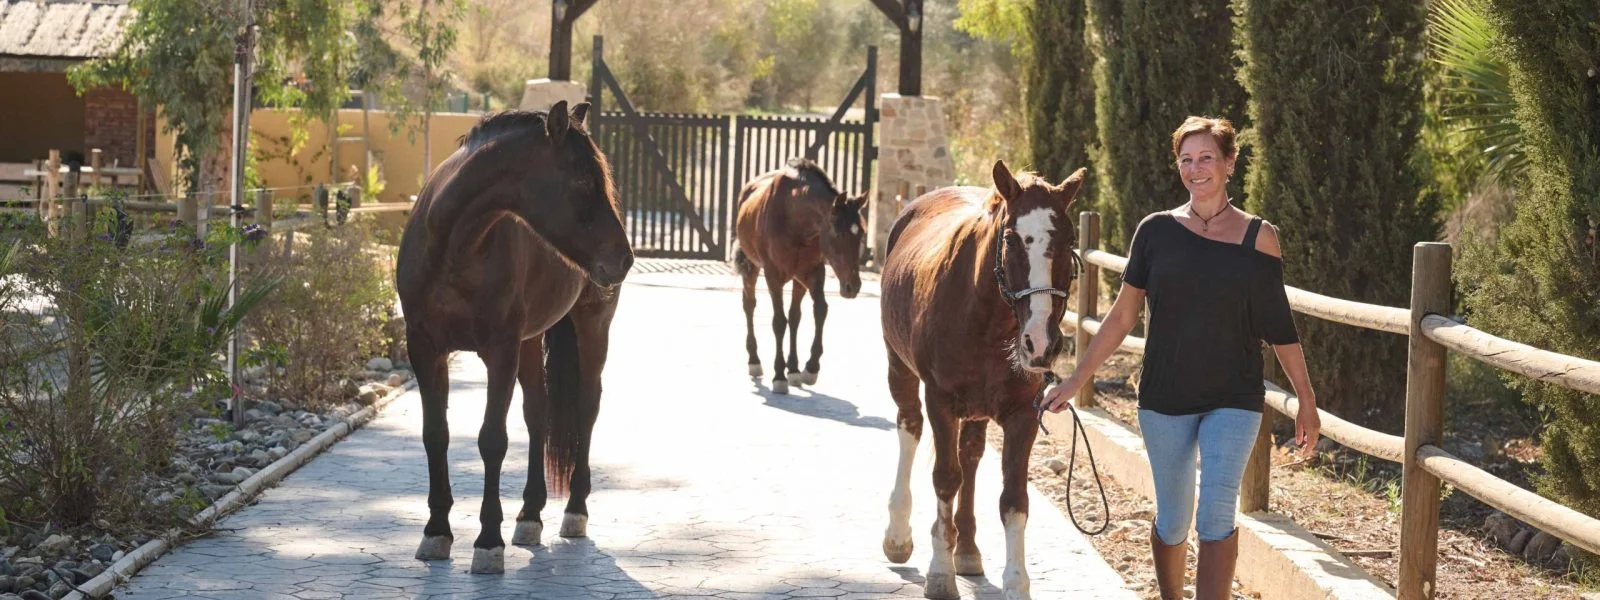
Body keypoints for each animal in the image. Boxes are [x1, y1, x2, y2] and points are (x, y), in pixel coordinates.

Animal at [394, 101, 634, 574]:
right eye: (582, 181)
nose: (624, 259)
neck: (455, 249)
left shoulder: (499, 351)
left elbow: (492, 440)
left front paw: (488, 542)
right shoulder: (425, 348)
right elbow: (436, 435)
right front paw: (436, 532)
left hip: (591, 326)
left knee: (586, 406)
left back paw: (574, 511)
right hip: (529, 340)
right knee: (537, 413)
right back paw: (530, 517)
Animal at [733, 158, 867, 394]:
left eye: (861, 234)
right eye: (838, 232)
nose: (852, 286)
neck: (794, 218)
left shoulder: (813, 272)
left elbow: (820, 310)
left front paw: (810, 368)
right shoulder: (772, 274)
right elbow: (779, 321)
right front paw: (779, 375)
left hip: (798, 279)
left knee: (795, 317)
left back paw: (793, 369)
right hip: (751, 266)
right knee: (749, 305)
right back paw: (755, 360)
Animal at [879, 160, 1086, 600]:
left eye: (1069, 240)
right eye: (1011, 239)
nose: (1041, 342)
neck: (988, 322)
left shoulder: (1023, 413)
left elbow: (1014, 498)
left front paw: (1016, 582)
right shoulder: (940, 401)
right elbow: (945, 478)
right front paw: (940, 572)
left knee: (970, 455)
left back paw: (968, 549)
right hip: (900, 370)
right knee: (910, 429)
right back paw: (899, 534)